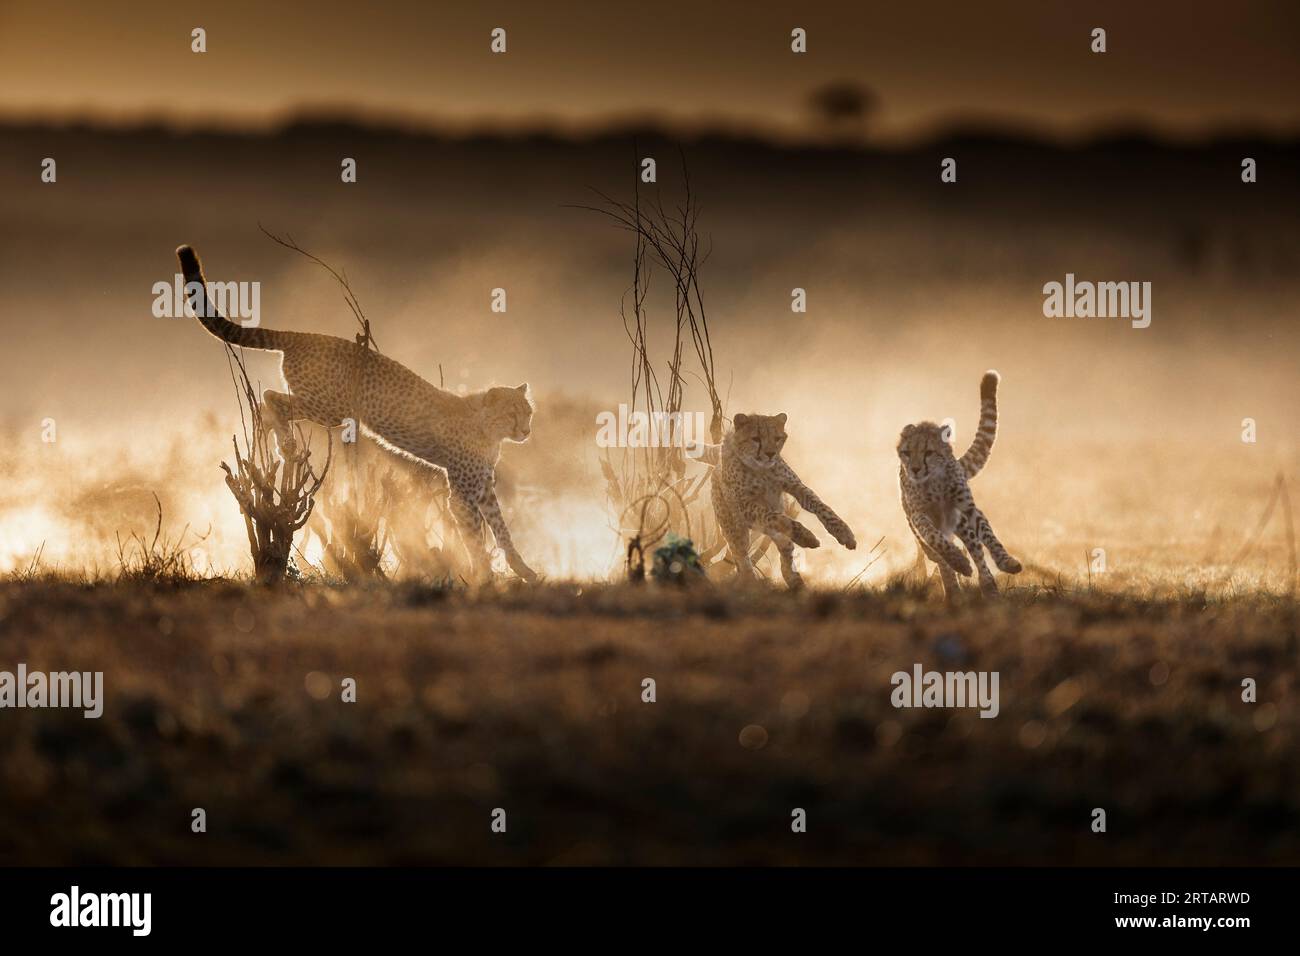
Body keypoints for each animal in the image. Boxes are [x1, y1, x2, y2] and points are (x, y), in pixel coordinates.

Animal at [176, 243, 533, 580]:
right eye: (511, 413)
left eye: (528, 412)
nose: (526, 431)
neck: (488, 428)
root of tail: (304, 336)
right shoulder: (461, 493)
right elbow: (474, 536)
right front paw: (484, 574)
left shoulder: (484, 488)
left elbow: (501, 530)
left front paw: (522, 568)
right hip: (330, 407)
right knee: (270, 396)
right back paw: (286, 442)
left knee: (266, 405)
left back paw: (270, 438)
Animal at [707, 413, 857, 587]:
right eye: (756, 438)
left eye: (777, 438)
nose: (770, 453)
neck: (760, 469)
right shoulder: (743, 505)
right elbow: (774, 517)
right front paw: (806, 536)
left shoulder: (796, 486)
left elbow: (822, 507)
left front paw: (844, 533)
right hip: (734, 528)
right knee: (741, 556)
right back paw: (750, 582)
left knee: (785, 549)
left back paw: (794, 579)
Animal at [899, 371, 1019, 600]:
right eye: (907, 452)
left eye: (928, 452)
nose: (915, 469)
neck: (934, 481)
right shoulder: (919, 515)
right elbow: (935, 539)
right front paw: (959, 563)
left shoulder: (968, 509)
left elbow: (987, 538)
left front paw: (1006, 562)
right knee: (938, 556)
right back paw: (954, 587)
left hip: (960, 522)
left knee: (976, 550)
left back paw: (988, 586)